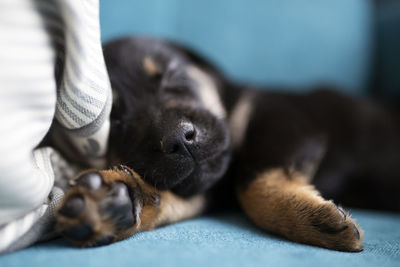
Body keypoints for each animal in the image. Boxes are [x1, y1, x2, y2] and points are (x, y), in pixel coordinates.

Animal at [55, 36, 400, 252]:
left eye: (171, 75)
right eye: (115, 121)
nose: (179, 138)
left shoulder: (284, 117)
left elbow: (254, 183)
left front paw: (310, 219)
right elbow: (176, 195)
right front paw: (118, 199)